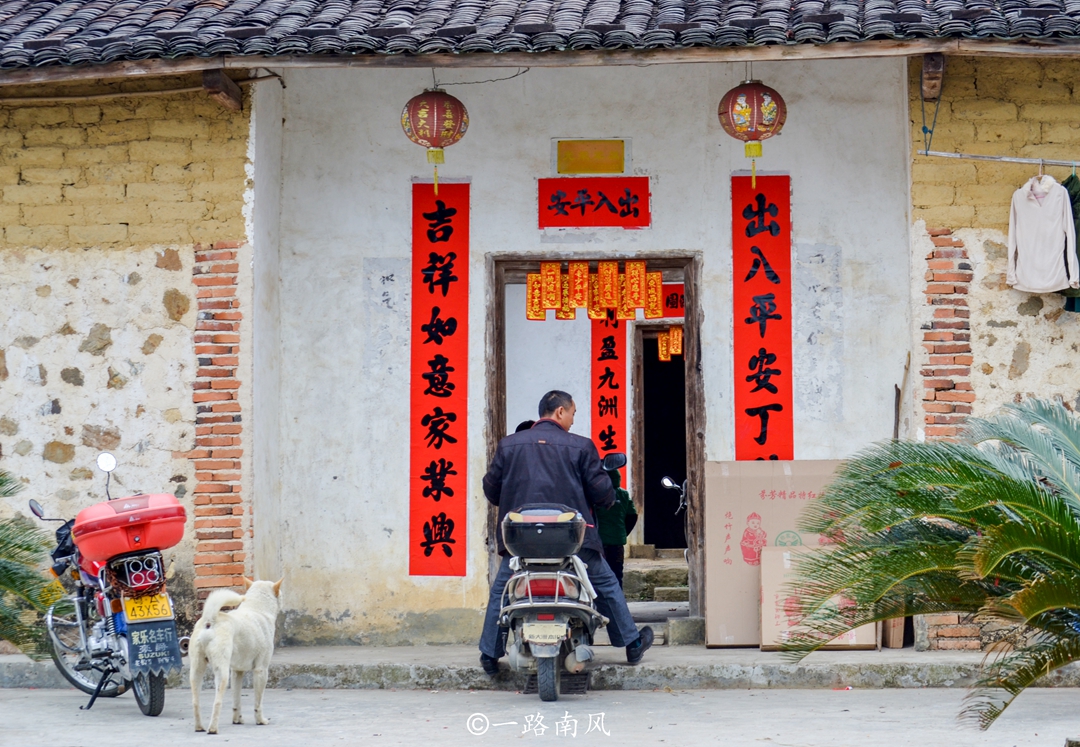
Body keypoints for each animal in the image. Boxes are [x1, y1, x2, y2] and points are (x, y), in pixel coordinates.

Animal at [190, 578, 282, 734]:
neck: (257, 608)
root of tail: (210, 620)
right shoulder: (261, 671)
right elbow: (258, 702)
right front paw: (260, 721)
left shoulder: (237, 672)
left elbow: (236, 700)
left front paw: (237, 720)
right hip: (222, 673)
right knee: (217, 702)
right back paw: (213, 729)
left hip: (197, 670)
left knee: (195, 702)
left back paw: (199, 727)